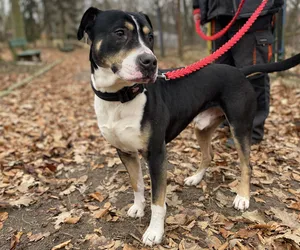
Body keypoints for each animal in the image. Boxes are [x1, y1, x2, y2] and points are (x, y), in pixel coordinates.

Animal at [78, 7, 300, 246]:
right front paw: (138, 207)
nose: (150, 62)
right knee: (208, 154)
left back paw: (242, 197)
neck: (121, 97)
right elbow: (136, 183)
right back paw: (196, 178)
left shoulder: (156, 154)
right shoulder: (125, 151)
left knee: (247, 165)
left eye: (150, 37)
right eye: (119, 33)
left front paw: (154, 232)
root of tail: (240, 71)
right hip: (202, 127)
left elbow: (158, 200)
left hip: (240, 127)